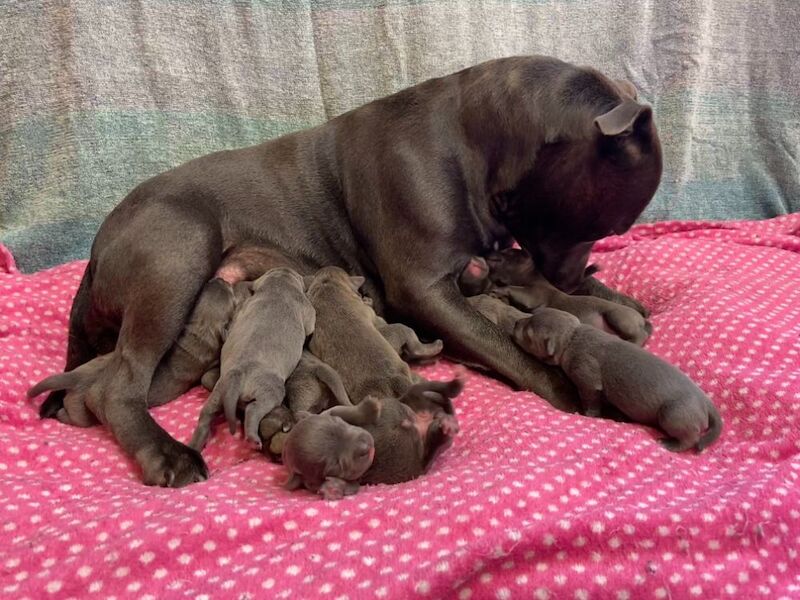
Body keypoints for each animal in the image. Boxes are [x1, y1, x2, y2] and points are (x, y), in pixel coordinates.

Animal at [189, 268, 314, 450]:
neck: (278, 285)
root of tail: (237, 375)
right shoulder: (305, 307)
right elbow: (311, 323)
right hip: (270, 390)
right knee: (254, 409)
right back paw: (253, 438)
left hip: (218, 392)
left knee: (205, 415)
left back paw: (195, 443)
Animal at [516, 308, 720, 452]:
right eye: (531, 315)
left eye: (528, 335)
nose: (515, 323)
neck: (572, 335)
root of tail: (707, 403)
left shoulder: (587, 378)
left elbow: (590, 398)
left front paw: (587, 414)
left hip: (673, 414)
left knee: (690, 438)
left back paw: (670, 444)